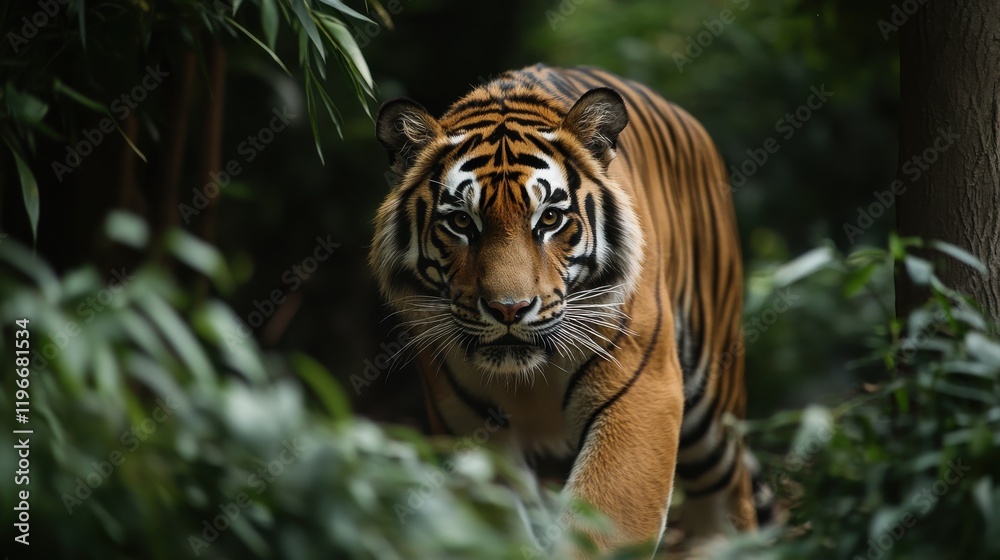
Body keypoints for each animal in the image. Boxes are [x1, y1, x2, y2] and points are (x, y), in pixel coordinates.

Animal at [369, 64, 767, 555]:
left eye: (550, 219)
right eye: (461, 221)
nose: (509, 309)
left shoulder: (641, 393)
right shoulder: (466, 426)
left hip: (712, 405)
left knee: (730, 501)